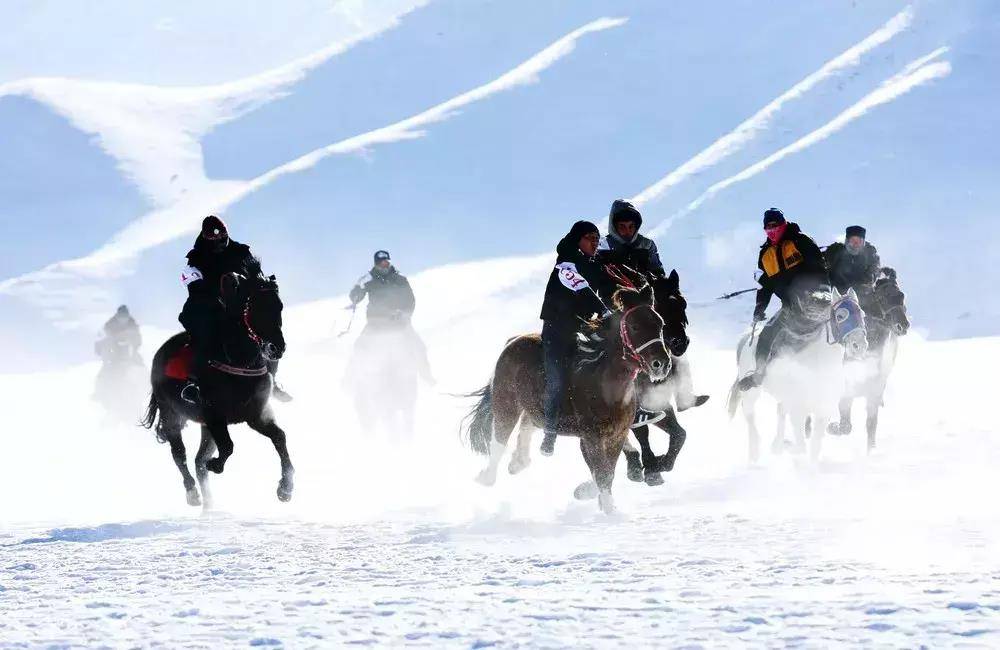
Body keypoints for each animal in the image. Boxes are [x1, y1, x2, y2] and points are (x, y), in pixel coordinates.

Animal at [141, 270, 292, 504]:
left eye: (279, 306)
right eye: (254, 307)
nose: (276, 347)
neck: (239, 363)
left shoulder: (255, 416)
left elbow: (280, 437)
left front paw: (285, 489)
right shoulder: (214, 416)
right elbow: (228, 447)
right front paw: (215, 465)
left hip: (205, 427)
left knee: (197, 461)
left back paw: (210, 505)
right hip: (172, 415)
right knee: (180, 454)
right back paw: (193, 494)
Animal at [462, 284, 672, 512]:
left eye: (660, 324)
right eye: (634, 326)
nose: (661, 364)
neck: (605, 386)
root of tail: (513, 341)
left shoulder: (616, 435)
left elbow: (608, 471)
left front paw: (597, 498)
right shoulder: (591, 437)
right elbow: (602, 473)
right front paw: (608, 509)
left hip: (533, 409)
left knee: (527, 424)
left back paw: (519, 461)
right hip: (506, 403)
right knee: (500, 439)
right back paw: (487, 476)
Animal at [728, 286, 868, 464]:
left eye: (862, 314)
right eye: (840, 316)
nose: (859, 345)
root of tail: (747, 339)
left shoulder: (823, 409)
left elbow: (815, 445)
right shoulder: (798, 409)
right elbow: (801, 441)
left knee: (779, 413)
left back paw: (776, 447)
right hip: (752, 392)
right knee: (750, 414)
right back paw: (755, 453)